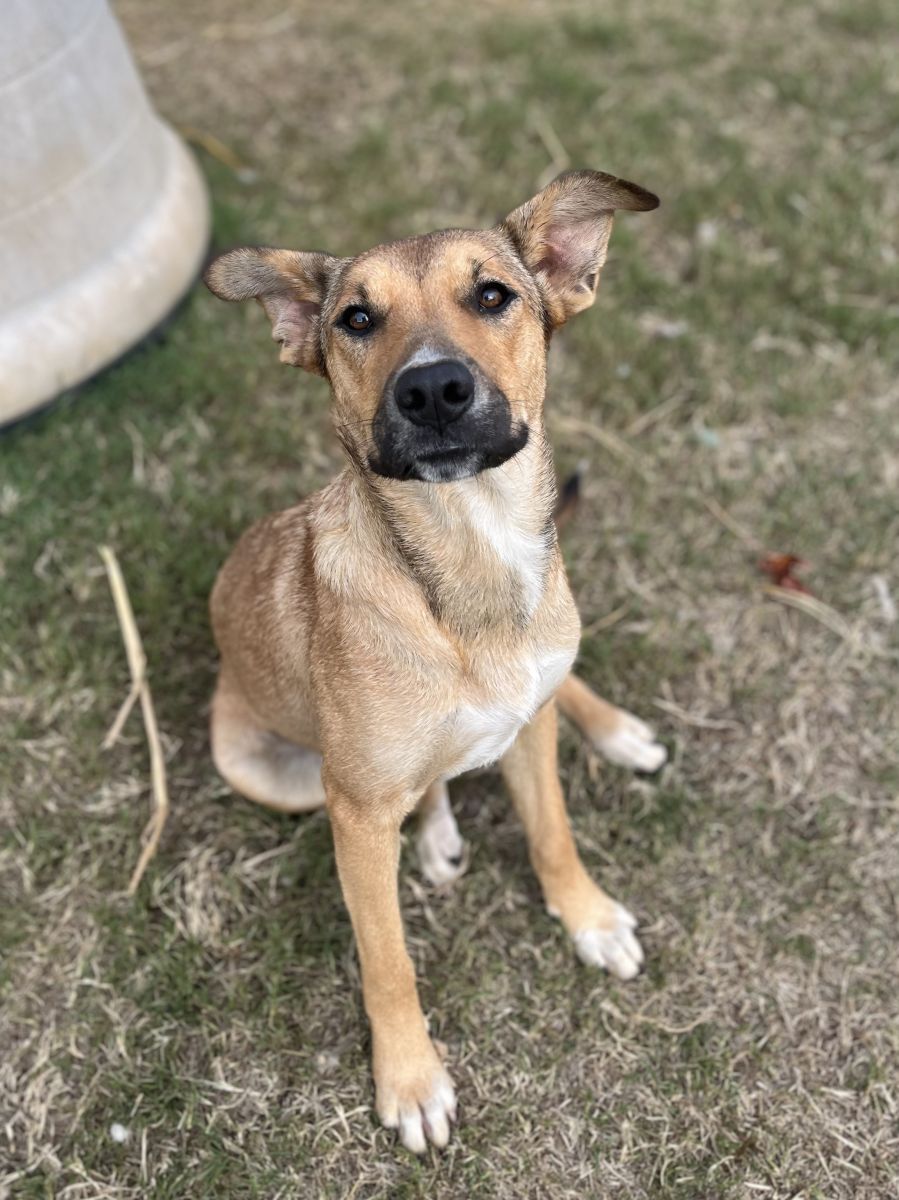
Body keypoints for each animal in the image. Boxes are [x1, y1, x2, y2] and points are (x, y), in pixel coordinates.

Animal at [206, 169, 662, 1152]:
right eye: (356, 319)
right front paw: (410, 1079)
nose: (434, 391)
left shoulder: (529, 728)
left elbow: (553, 834)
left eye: (491, 295)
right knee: (417, 788)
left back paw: (612, 729)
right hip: (276, 774)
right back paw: (438, 826)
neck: (468, 563)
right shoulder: (354, 814)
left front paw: (586, 917)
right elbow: (387, 960)